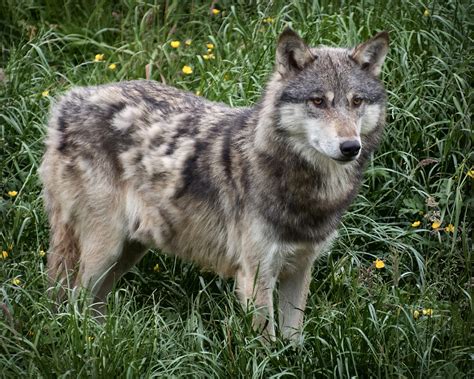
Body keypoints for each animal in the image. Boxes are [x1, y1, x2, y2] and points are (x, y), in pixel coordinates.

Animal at [39, 28, 388, 340]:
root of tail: (69, 102)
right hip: (105, 250)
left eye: (356, 101)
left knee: (93, 305)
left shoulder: (300, 268)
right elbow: (267, 346)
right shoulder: (256, 275)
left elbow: (294, 339)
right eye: (318, 101)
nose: (350, 147)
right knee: (75, 302)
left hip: (127, 252)